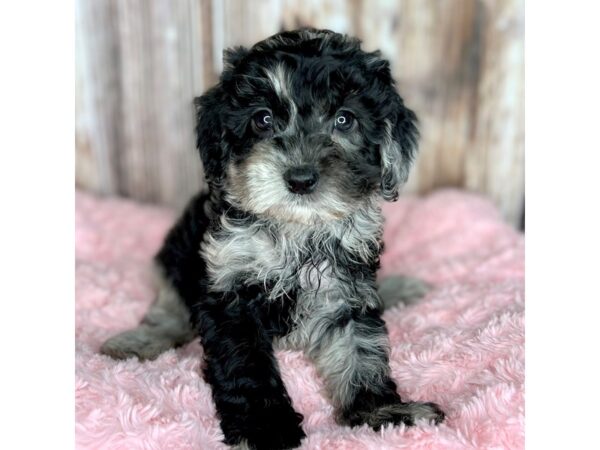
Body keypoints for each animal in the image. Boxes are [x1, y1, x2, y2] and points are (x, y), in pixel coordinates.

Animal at [101, 29, 442, 450]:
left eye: (344, 119)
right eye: (262, 119)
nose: (300, 178)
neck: (297, 226)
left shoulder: (347, 285)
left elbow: (361, 348)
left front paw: (381, 412)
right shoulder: (229, 286)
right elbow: (247, 366)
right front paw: (264, 429)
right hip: (177, 254)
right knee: (169, 308)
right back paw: (137, 341)